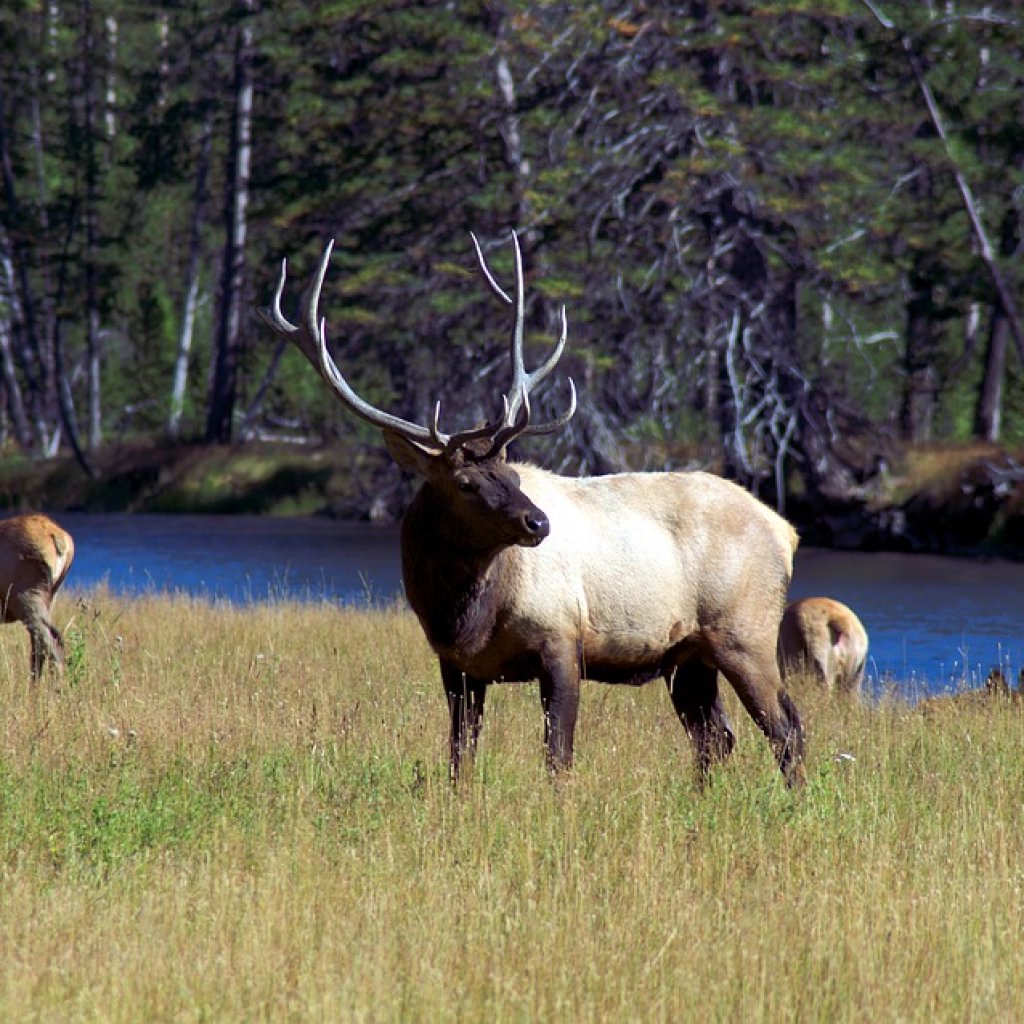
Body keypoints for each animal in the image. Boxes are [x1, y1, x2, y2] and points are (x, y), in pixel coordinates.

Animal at [262, 234, 806, 782]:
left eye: (513, 475)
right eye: (465, 483)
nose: (538, 521)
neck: (462, 615)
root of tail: (786, 531)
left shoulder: (561, 640)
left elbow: (557, 756)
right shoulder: (457, 665)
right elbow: (460, 756)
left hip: (745, 633)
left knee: (787, 729)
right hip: (688, 655)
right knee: (716, 736)